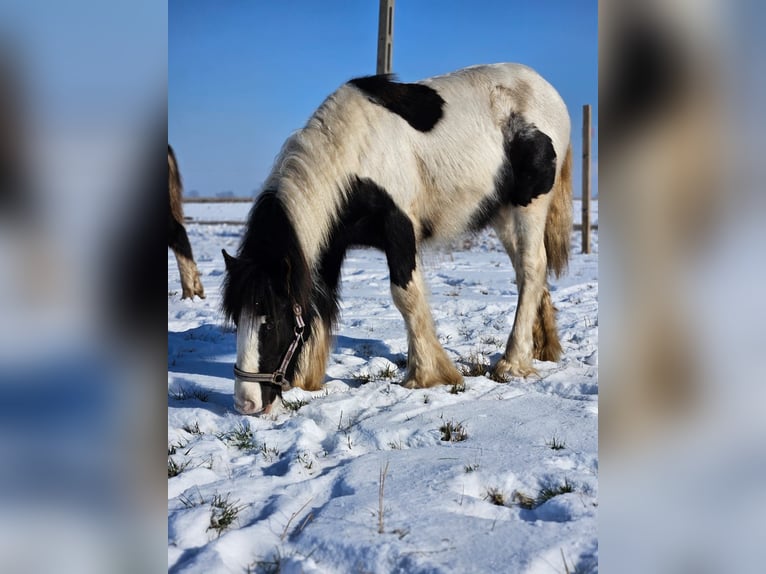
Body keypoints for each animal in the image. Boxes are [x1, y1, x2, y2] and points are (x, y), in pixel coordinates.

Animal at [222, 63, 568, 416]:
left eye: (270, 323)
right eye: (237, 319)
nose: (246, 403)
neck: (354, 154)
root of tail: (546, 89)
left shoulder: (399, 229)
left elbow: (406, 296)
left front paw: (427, 374)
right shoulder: (330, 246)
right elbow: (320, 302)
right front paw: (306, 380)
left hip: (529, 206)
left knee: (531, 267)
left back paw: (512, 363)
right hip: (501, 214)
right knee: (525, 272)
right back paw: (540, 349)